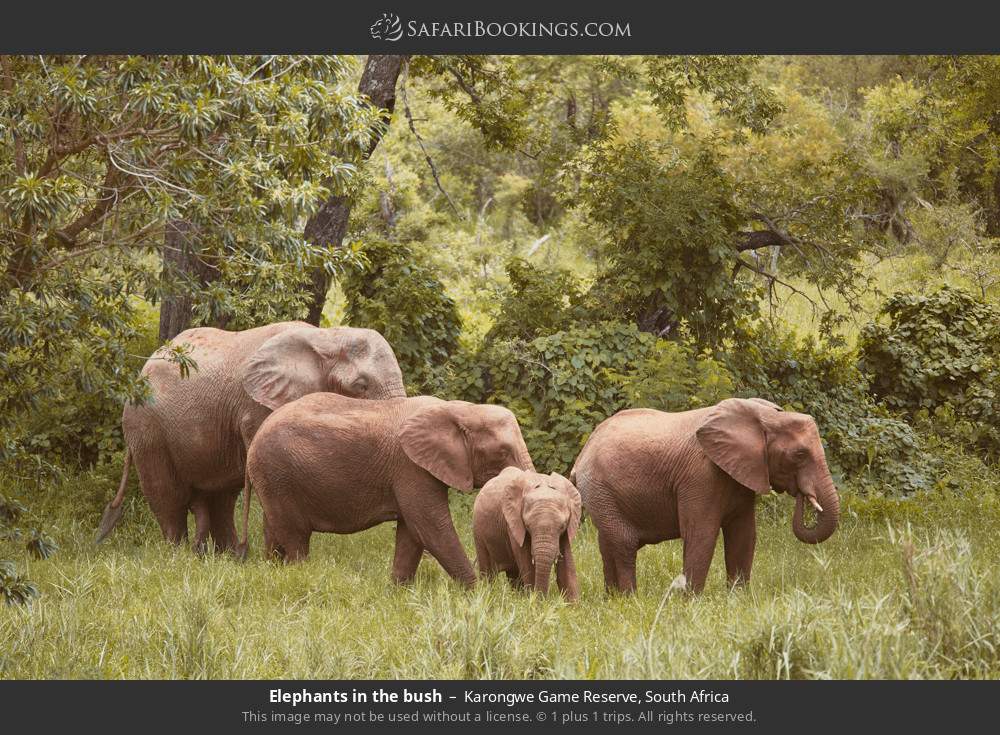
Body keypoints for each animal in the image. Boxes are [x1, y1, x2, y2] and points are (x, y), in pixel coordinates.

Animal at [96, 321, 406, 551]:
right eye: (361, 386)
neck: (326, 338)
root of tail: (141, 369)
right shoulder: (257, 407)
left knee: (221, 497)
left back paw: (229, 556)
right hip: (146, 429)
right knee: (167, 494)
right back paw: (179, 554)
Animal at [239, 393, 535, 586]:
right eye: (502, 452)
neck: (457, 409)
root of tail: (255, 437)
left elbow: (411, 532)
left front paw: (398, 590)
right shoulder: (410, 467)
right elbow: (430, 526)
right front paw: (477, 594)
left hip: (273, 479)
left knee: (274, 532)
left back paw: (274, 572)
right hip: (279, 473)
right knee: (296, 536)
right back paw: (299, 575)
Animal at [472, 467, 582, 601]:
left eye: (562, 526)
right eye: (528, 526)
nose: (544, 600)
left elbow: (567, 564)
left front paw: (573, 604)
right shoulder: (514, 523)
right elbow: (527, 563)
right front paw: (533, 601)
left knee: (513, 574)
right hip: (478, 530)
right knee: (487, 571)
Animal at [571, 397, 840, 594]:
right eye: (799, 455)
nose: (803, 494)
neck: (765, 417)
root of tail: (582, 454)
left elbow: (744, 534)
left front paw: (738, 598)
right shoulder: (701, 476)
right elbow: (702, 533)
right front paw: (691, 601)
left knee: (607, 543)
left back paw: (612, 598)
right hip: (600, 489)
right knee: (623, 543)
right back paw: (630, 599)